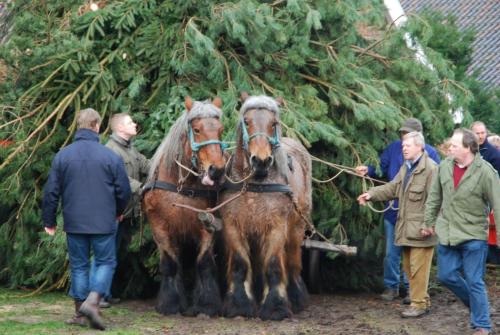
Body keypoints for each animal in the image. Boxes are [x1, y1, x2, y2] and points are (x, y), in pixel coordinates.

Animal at [141, 97, 227, 318]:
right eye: (196, 129)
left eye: (220, 129)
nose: (217, 170)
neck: (183, 188)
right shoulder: (159, 228)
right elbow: (171, 264)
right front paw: (170, 304)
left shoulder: (208, 224)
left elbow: (204, 263)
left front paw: (206, 305)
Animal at [220, 92, 310, 320]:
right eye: (246, 121)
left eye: (273, 123)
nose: (260, 161)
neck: (255, 185)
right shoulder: (233, 226)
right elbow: (241, 264)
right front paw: (240, 305)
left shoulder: (276, 227)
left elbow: (273, 264)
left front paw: (275, 306)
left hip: (296, 227)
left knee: (293, 261)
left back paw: (297, 298)